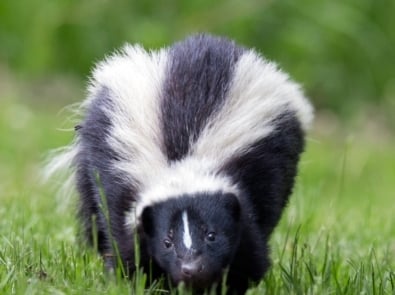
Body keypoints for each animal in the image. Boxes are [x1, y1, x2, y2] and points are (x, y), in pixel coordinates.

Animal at [47, 34, 312, 294]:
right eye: (167, 242)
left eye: (211, 235)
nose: (191, 269)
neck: (183, 162)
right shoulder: (120, 188)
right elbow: (127, 249)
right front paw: (138, 282)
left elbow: (249, 253)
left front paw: (228, 286)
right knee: (94, 216)